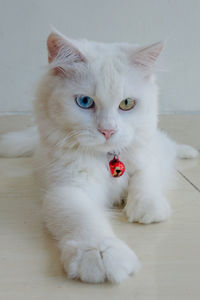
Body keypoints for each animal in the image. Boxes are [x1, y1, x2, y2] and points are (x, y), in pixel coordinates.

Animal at [0, 31, 198, 282]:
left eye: (127, 104)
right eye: (84, 102)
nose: (108, 131)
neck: (107, 157)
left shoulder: (147, 159)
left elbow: (145, 180)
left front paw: (147, 208)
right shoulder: (67, 189)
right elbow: (84, 220)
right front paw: (99, 254)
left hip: (159, 142)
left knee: (171, 146)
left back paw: (189, 152)